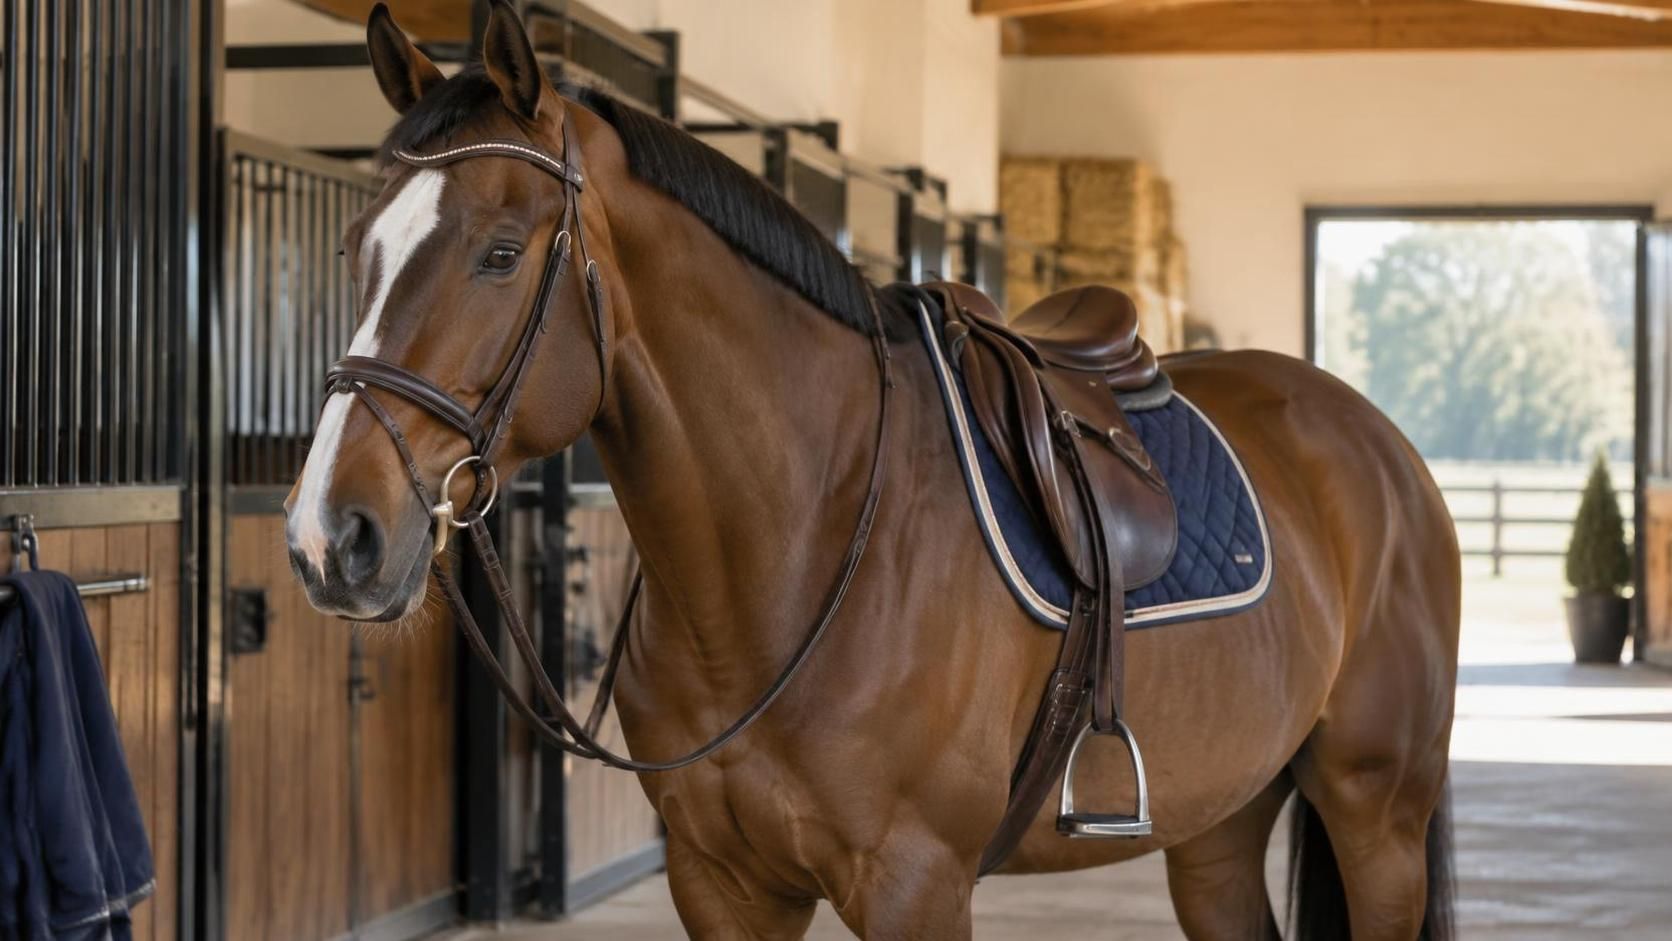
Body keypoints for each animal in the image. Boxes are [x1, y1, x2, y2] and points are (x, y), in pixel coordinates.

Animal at [284, 4, 1460, 937]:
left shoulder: (913, 882)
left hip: (1376, 812)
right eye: (353, 245)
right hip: (1220, 816)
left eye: (499, 251)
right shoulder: (722, 884)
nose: (329, 537)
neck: (800, 544)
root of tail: (1382, 447)